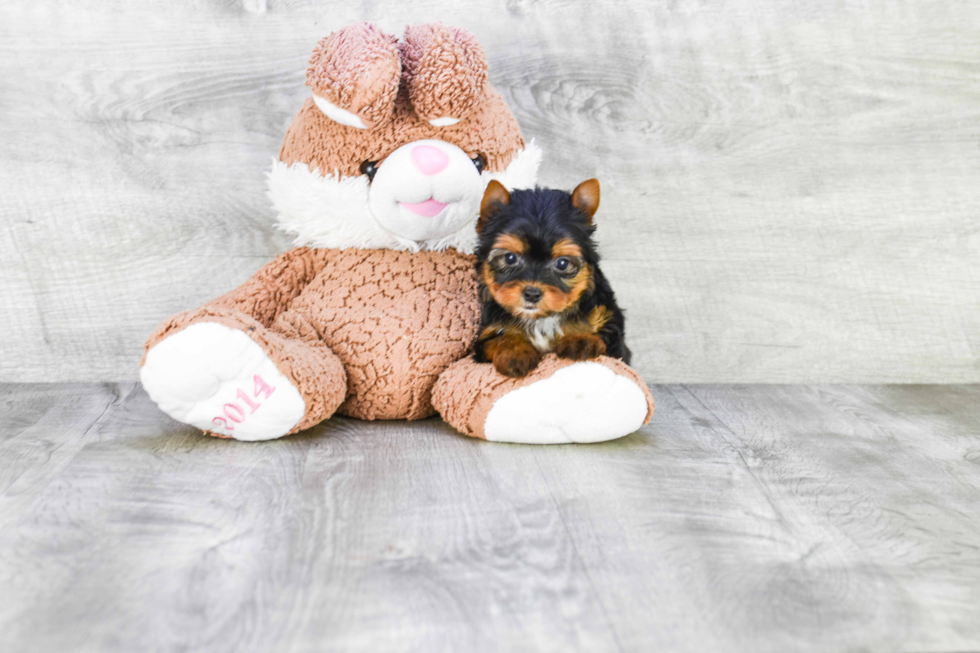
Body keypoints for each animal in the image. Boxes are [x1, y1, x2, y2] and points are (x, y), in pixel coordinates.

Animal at [472, 178, 628, 376]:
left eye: (562, 264)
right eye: (510, 258)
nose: (532, 294)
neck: (541, 319)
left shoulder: (611, 329)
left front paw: (580, 339)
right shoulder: (486, 335)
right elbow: (498, 338)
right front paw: (514, 352)